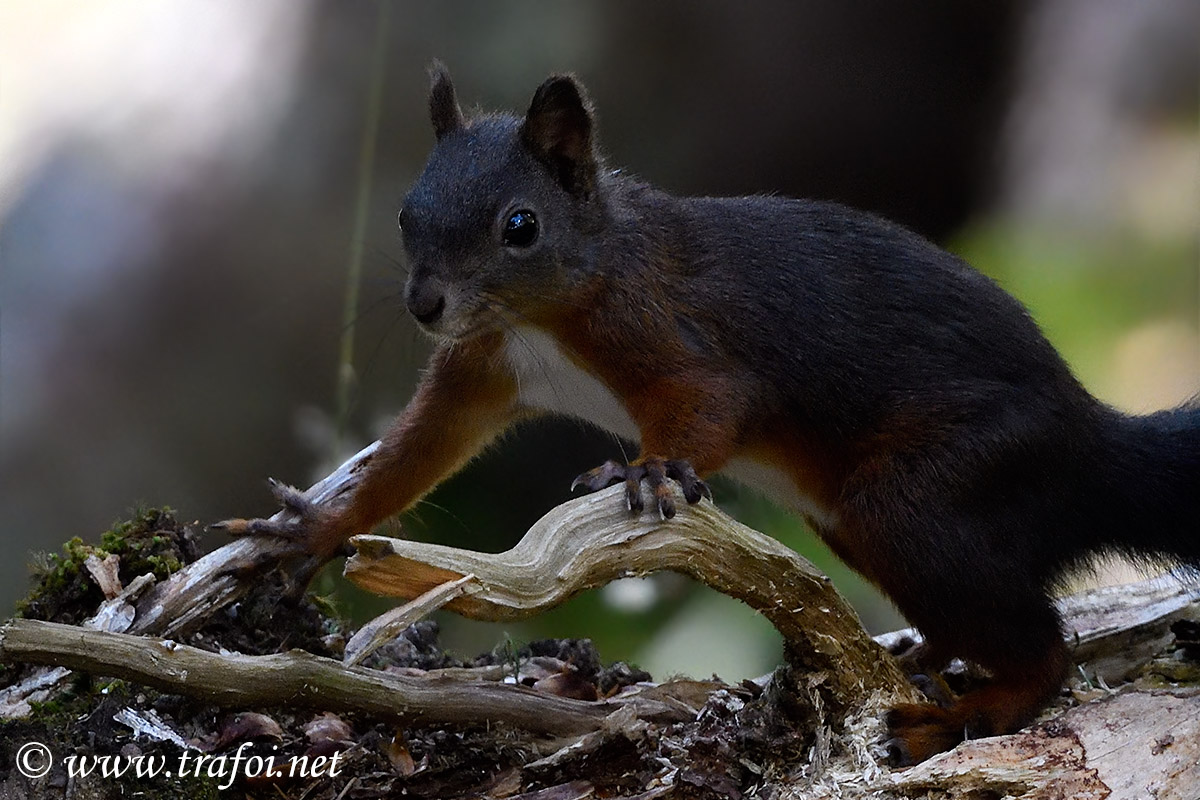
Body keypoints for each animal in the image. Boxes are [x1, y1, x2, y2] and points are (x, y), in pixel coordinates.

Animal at [222, 63, 1200, 765]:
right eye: (403, 213)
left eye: (520, 226)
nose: (426, 304)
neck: (543, 314)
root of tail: (1092, 444)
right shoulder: (481, 372)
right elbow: (415, 452)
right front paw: (315, 529)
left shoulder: (667, 331)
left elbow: (714, 404)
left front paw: (648, 469)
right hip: (856, 522)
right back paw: (929, 656)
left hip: (937, 485)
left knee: (1047, 649)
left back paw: (972, 708)